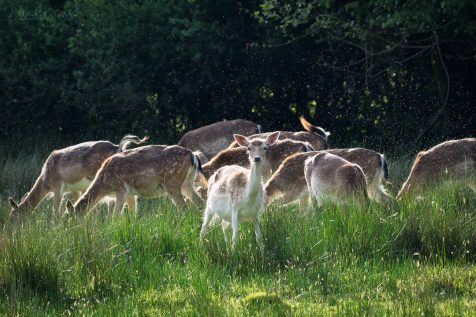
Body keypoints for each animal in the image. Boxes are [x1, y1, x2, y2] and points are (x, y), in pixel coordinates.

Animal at [7, 133, 148, 217]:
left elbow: (55, 210)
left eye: (13, 215)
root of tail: (118, 147)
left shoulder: (58, 186)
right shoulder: (74, 188)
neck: (44, 180)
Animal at [64, 144, 206, 214]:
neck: (103, 185)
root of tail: (193, 155)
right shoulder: (131, 194)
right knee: (200, 202)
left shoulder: (121, 189)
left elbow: (115, 216)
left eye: (69, 217)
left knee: (184, 208)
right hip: (187, 183)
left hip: (173, 183)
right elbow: (133, 215)